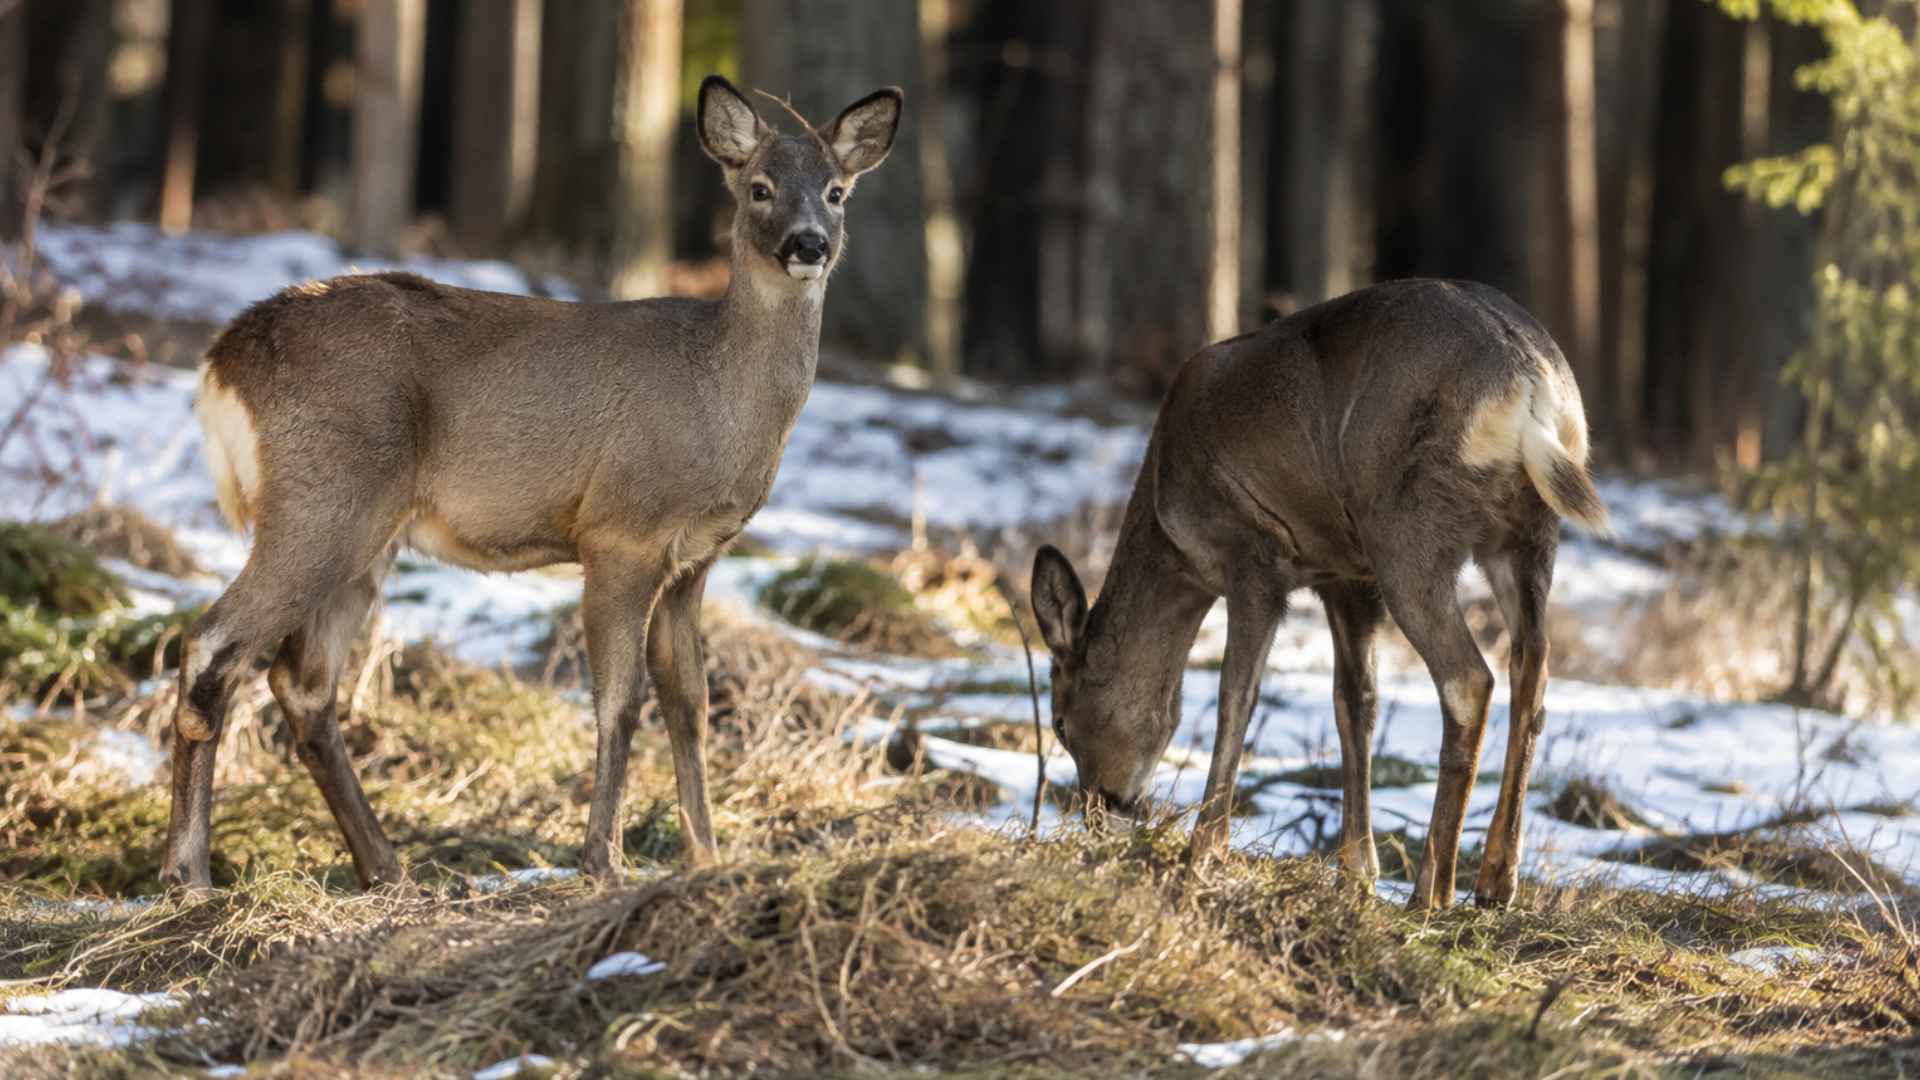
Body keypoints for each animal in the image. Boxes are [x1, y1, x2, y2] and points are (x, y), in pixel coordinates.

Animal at [160, 75, 903, 891]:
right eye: (761, 187)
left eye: (836, 191)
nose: (809, 244)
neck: (721, 403)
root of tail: (221, 363)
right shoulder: (621, 530)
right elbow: (620, 702)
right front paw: (602, 863)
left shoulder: (696, 557)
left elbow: (691, 703)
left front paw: (705, 857)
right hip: (322, 498)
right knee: (213, 645)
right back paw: (188, 874)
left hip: (366, 535)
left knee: (303, 683)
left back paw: (387, 868)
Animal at [1028, 279, 1610, 910]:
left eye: (1060, 722)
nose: (1100, 808)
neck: (1173, 533)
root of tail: (1529, 381)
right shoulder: (1343, 574)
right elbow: (1354, 702)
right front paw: (1356, 869)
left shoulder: (1253, 552)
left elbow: (1237, 694)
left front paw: (1202, 852)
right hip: (1527, 532)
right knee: (1533, 666)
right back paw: (1496, 881)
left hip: (1406, 526)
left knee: (1468, 678)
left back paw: (1431, 890)